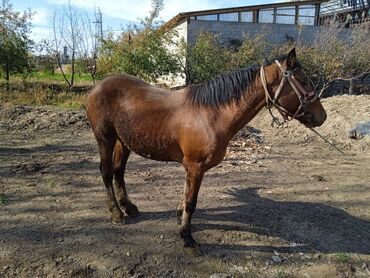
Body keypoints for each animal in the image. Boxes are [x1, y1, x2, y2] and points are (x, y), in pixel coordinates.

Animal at [85, 48, 326, 251]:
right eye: (304, 81)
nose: (322, 116)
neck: (211, 113)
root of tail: (97, 87)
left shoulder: (192, 168)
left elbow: (185, 197)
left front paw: (181, 219)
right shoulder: (195, 166)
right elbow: (191, 203)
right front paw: (187, 237)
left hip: (123, 141)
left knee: (119, 172)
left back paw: (129, 207)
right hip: (105, 139)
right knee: (106, 172)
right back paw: (116, 213)